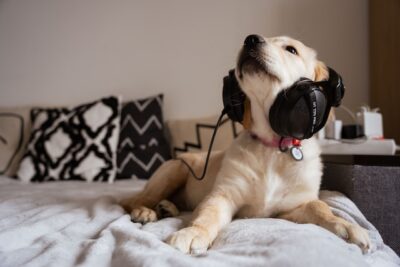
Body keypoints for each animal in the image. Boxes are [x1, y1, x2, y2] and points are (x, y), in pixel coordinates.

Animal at [120, 34, 370, 254]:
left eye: (291, 49)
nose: (251, 39)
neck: (274, 147)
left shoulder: (291, 208)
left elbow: (320, 207)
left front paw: (346, 225)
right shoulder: (223, 195)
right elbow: (207, 215)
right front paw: (193, 232)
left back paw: (167, 207)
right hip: (176, 169)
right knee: (132, 200)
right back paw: (145, 211)